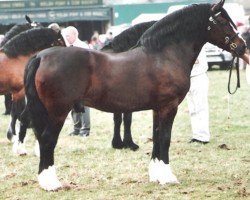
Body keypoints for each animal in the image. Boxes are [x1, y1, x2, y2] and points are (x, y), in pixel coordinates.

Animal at [23, 0, 248, 191]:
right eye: (222, 21)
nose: (242, 46)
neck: (164, 55)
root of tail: (41, 56)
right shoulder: (169, 106)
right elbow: (165, 138)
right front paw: (168, 177)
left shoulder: (158, 108)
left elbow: (156, 137)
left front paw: (156, 174)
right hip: (58, 111)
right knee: (47, 140)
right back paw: (51, 183)